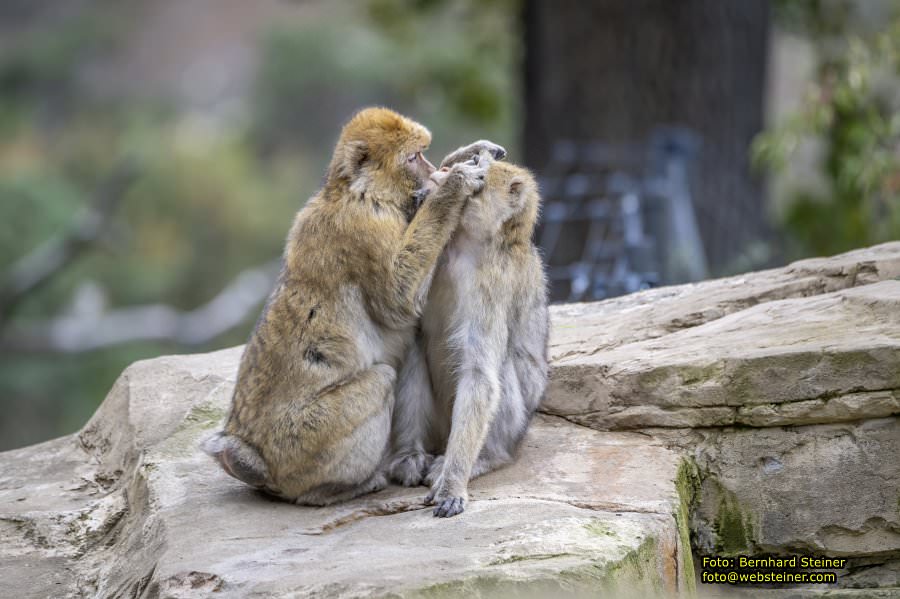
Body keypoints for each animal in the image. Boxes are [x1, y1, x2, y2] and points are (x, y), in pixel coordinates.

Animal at [201, 109, 502, 506]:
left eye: (424, 154)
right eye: (412, 158)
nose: (429, 170)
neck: (356, 190)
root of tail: (258, 461)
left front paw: (465, 158)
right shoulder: (367, 225)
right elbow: (398, 302)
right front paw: (454, 185)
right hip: (305, 442)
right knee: (380, 380)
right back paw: (338, 488)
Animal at [386, 155, 548, 516]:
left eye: (480, 170)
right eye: (474, 160)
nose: (448, 169)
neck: (465, 242)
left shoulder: (494, 280)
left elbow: (479, 375)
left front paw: (451, 484)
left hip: (513, 429)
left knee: (499, 370)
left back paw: (487, 458)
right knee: (413, 350)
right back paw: (410, 454)